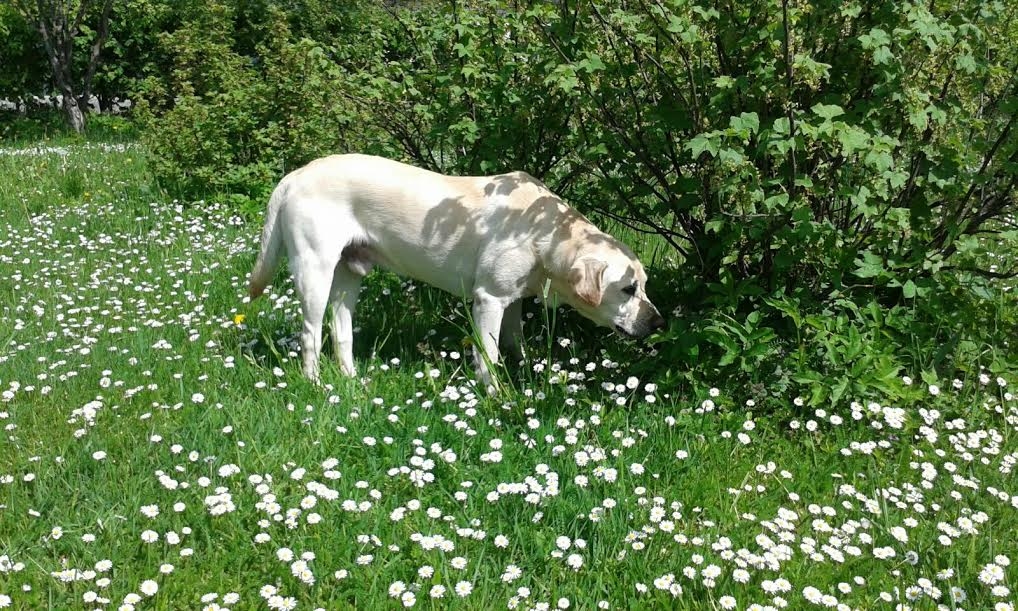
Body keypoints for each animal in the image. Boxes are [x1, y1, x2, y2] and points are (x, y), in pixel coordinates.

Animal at [244, 154, 659, 389]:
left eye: (644, 285)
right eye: (627, 288)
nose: (658, 323)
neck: (541, 230)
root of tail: (295, 175)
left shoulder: (511, 302)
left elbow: (516, 345)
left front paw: (526, 376)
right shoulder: (489, 300)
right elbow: (489, 356)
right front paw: (495, 396)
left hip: (348, 277)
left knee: (340, 331)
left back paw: (351, 380)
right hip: (314, 271)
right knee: (310, 334)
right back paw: (316, 386)